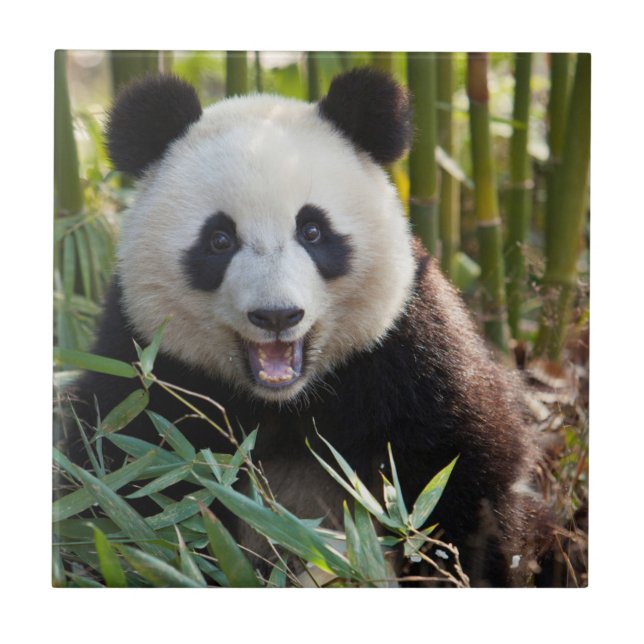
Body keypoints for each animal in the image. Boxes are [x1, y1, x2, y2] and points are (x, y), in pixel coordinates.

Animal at [66, 68, 545, 586]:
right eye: (219, 239)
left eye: (313, 231)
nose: (276, 315)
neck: (284, 401)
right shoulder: (145, 367)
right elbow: (122, 487)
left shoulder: (409, 351)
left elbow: (463, 474)